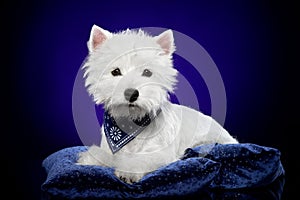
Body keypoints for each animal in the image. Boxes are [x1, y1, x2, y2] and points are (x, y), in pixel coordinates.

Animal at [77, 24, 239, 183]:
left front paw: (128, 173)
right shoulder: (109, 149)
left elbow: (140, 159)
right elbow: (103, 155)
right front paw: (89, 160)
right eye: (115, 71)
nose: (131, 93)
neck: (130, 125)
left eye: (147, 72)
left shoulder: (161, 154)